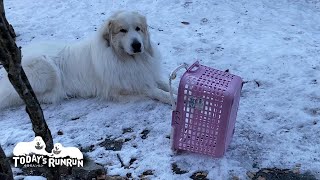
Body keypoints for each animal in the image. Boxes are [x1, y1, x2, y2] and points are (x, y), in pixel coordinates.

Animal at [0, 11, 172, 109]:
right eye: (123, 30)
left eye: (138, 29)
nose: (137, 45)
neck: (125, 58)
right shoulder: (126, 88)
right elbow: (156, 91)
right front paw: (171, 100)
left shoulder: (147, 74)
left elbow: (166, 84)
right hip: (47, 69)